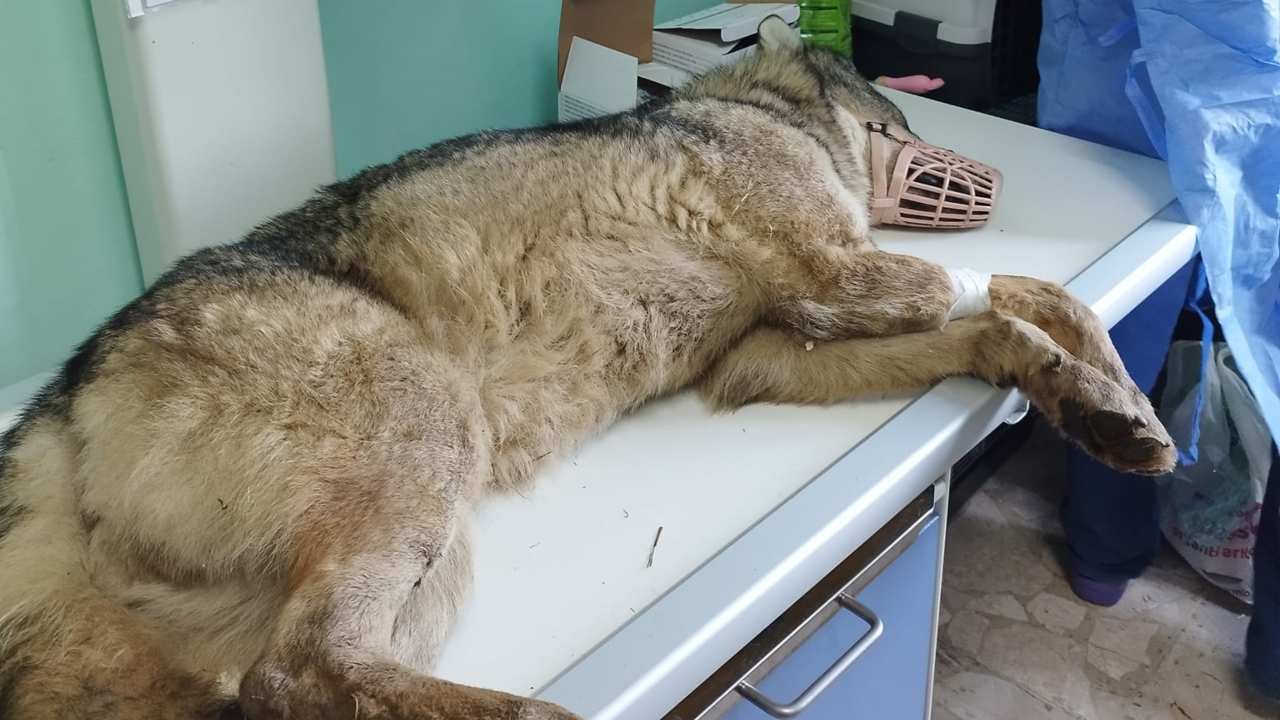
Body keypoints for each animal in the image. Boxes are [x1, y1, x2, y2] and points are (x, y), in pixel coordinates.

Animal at [0, 17, 1174, 720]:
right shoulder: (842, 272)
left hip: (411, 571)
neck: (747, 108)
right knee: (299, 674)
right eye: (896, 118)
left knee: (281, 685)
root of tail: (64, 389)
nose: (997, 176)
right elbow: (1000, 289)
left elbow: (1018, 315)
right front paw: (1083, 371)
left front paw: (1100, 403)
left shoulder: (764, 357)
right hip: (427, 458)